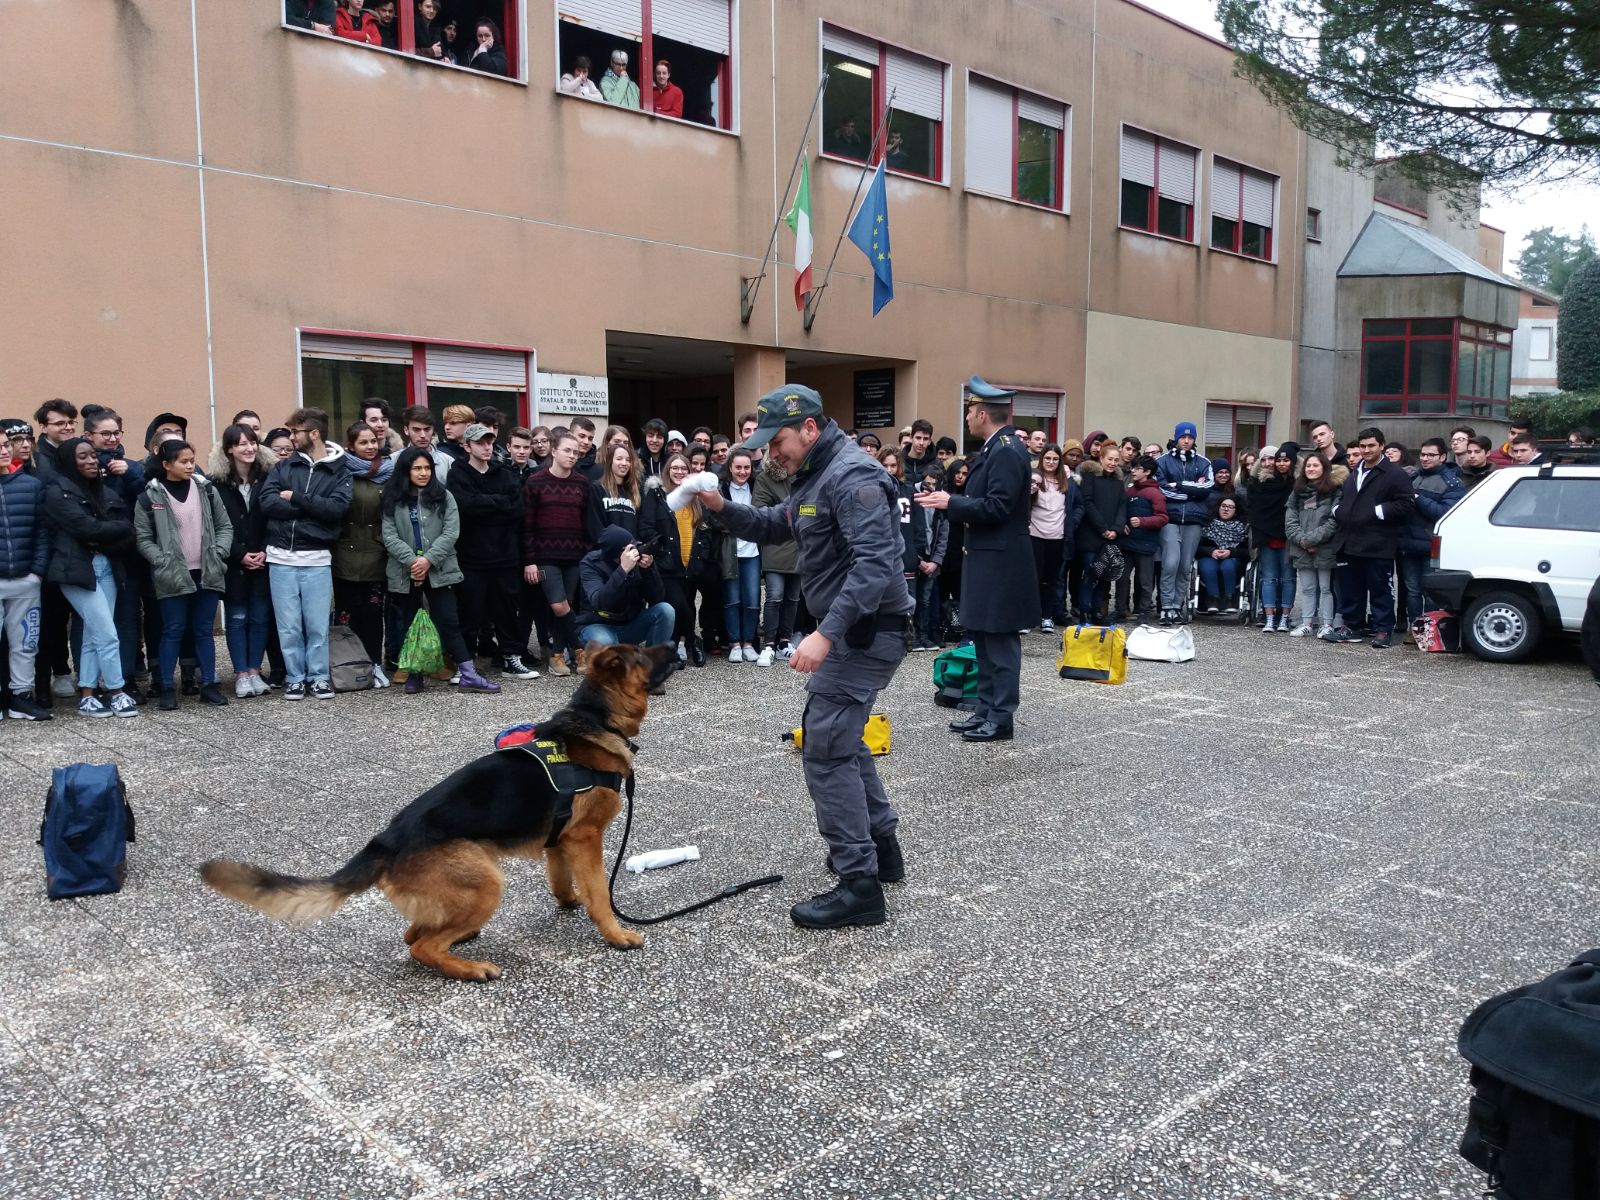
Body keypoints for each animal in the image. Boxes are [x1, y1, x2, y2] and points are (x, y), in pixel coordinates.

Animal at [200, 643, 675, 979]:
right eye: (643, 652)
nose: (675, 643)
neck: (595, 717)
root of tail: (386, 842)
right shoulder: (586, 838)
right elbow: (600, 894)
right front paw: (615, 933)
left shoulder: (560, 840)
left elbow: (562, 879)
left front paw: (568, 900)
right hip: (486, 881)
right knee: (420, 945)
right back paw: (470, 968)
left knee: (415, 932)